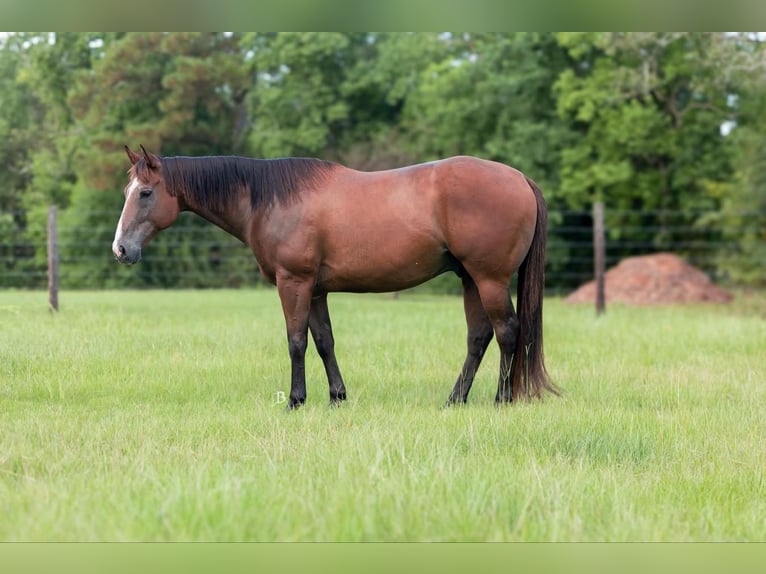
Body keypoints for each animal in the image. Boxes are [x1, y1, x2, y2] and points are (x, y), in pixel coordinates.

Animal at [112, 146, 560, 412]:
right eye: (127, 191)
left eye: (146, 193)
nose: (120, 249)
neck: (271, 200)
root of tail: (519, 178)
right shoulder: (316, 290)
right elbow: (324, 341)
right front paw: (337, 398)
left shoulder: (293, 283)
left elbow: (296, 342)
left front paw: (295, 401)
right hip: (470, 280)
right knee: (479, 337)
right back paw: (455, 399)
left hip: (489, 279)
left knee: (507, 331)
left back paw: (502, 399)